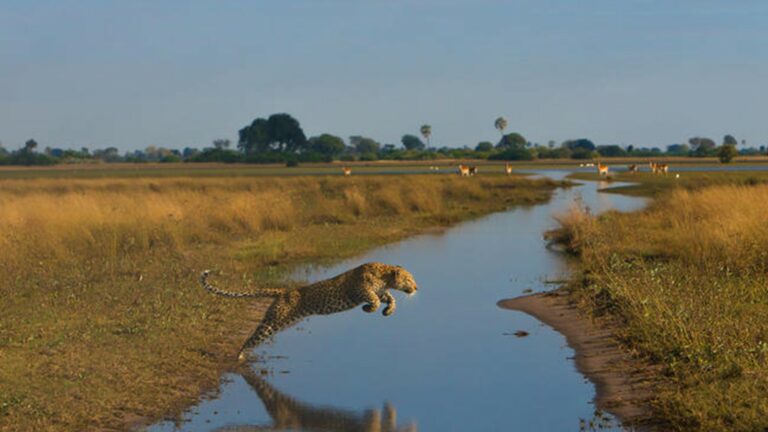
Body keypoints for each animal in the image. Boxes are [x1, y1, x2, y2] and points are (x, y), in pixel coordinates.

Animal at [199, 262, 418, 361]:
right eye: (409, 279)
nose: (417, 288)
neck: (385, 276)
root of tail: (283, 292)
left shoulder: (381, 291)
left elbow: (389, 298)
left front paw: (388, 310)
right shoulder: (359, 290)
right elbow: (374, 298)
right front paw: (369, 308)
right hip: (272, 322)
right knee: (252, 337)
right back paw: (240, 356)